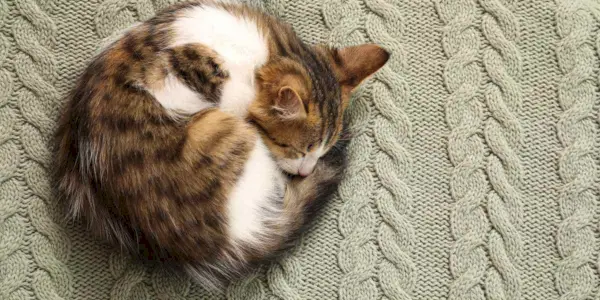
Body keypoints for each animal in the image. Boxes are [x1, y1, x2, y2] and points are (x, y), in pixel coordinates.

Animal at [52, 0, 390, 290]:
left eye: (321, 150)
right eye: (294, 149)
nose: (306, 173)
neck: (266, 51)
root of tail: (238, 240)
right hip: (225, 133)